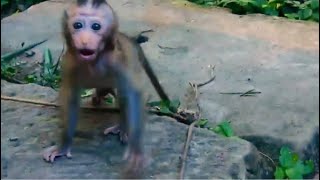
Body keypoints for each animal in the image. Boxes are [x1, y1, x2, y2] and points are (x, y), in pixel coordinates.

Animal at [43, 0, 170, 175]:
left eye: (96, 26)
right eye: (77, 25)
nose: (85, 40)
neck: (94, 60)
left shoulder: (117, 60)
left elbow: (134, 95)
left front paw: (136, 151)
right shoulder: (69, 63)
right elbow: (70, 98)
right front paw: (63, 145)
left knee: (124, 94)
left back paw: (123, 127)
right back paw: (98, 97)